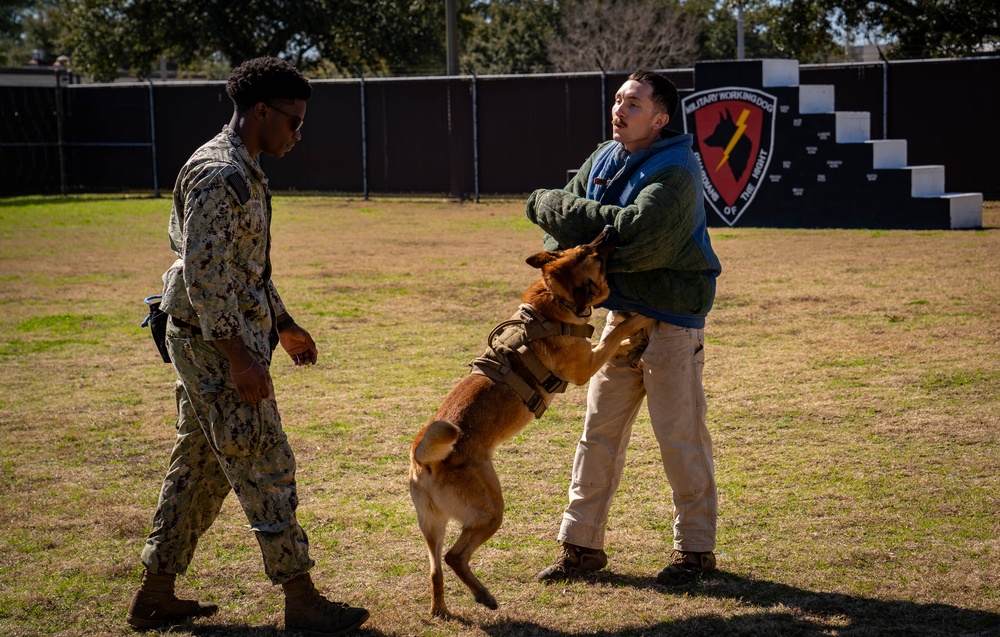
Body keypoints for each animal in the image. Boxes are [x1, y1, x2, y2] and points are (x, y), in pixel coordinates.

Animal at [408, 226, 652, 612]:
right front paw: (639, 321)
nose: (609, 229)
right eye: (593, 254)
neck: (556, 300)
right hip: (491, 511)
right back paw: (484, 596)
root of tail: (424, 459)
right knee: (454, 557)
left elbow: (616, 342)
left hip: (432, 526)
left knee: (435, 569)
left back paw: (442, 610)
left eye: (585, 245)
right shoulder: (585, 366)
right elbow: (613, 335)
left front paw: (634, 341)